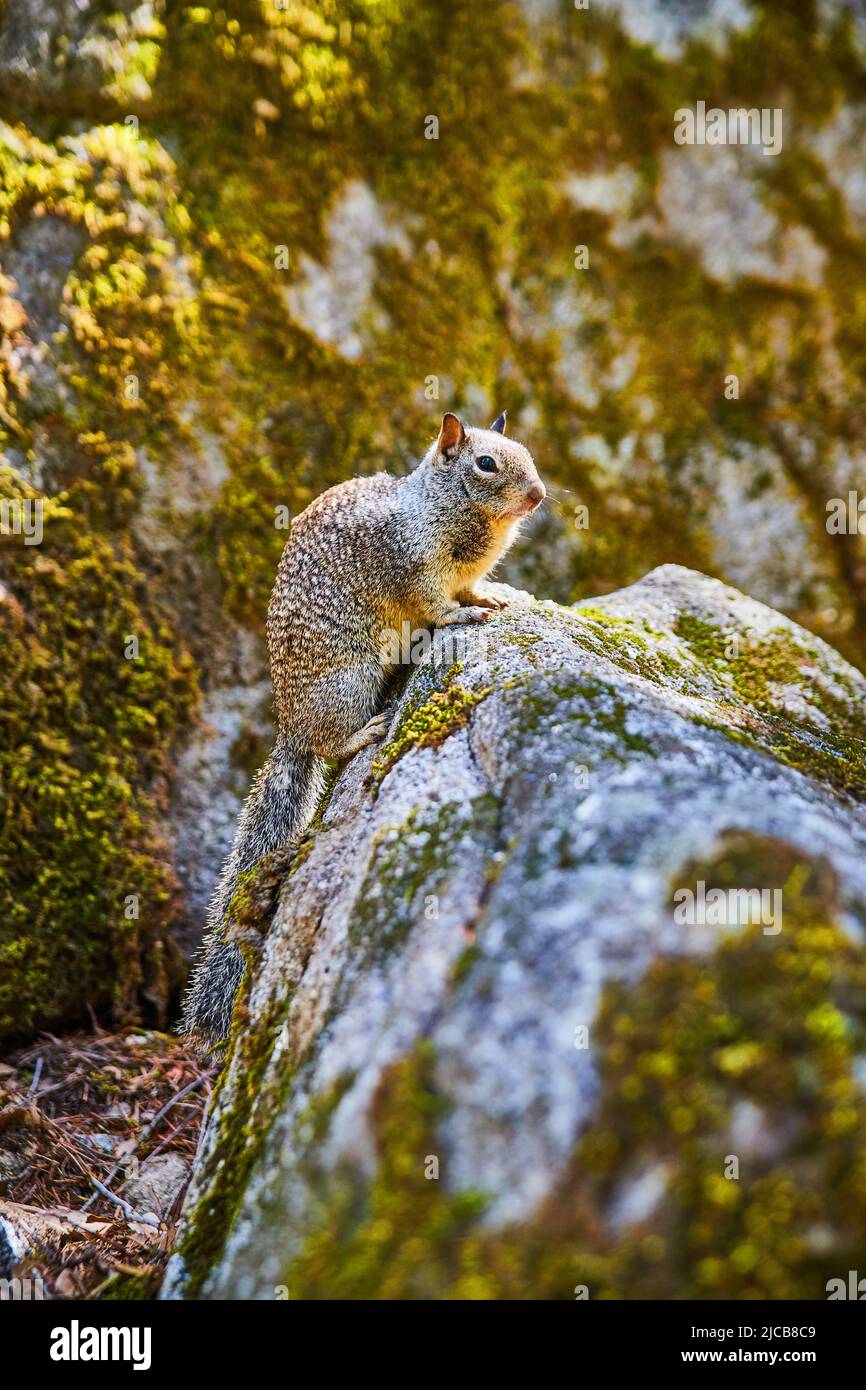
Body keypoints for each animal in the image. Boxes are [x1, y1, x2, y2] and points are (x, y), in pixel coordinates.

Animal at [180, 410, 545, 1042]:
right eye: (486, 463)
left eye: (524, 452)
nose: (540, 495)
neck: (446, 509)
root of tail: (290, 728)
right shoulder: (413, 570)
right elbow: (437, 605)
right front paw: (464, 615)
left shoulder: (463, 572)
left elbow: (474, 588)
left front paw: (493, 596)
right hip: (349, 684)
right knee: (332, 745)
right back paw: (366, 734)